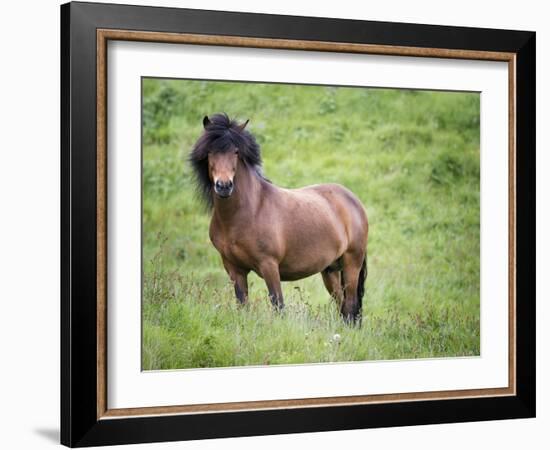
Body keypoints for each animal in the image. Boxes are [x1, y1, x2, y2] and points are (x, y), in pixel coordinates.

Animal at [191, 113, 370, 324]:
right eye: (210, 152)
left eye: (236, 151)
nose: (224, 186)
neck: (248, 212)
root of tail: (354, 200)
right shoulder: (234, 269)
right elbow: (243, 305)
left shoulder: (269, 266)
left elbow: (278, 305)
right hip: (331, 270)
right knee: (341, 305)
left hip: (352, 263)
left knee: (350, 306)